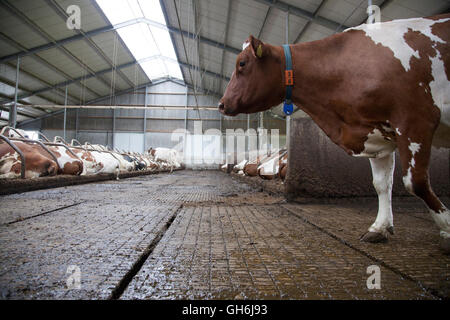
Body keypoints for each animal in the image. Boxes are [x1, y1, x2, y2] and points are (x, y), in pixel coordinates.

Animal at [219, 14, 450, 252]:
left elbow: (416, 182)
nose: (221, 104)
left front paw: (446, 228)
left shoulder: (415, 120)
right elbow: (381, 184)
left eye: (242, 63)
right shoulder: (377, 134)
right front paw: (379, 228)